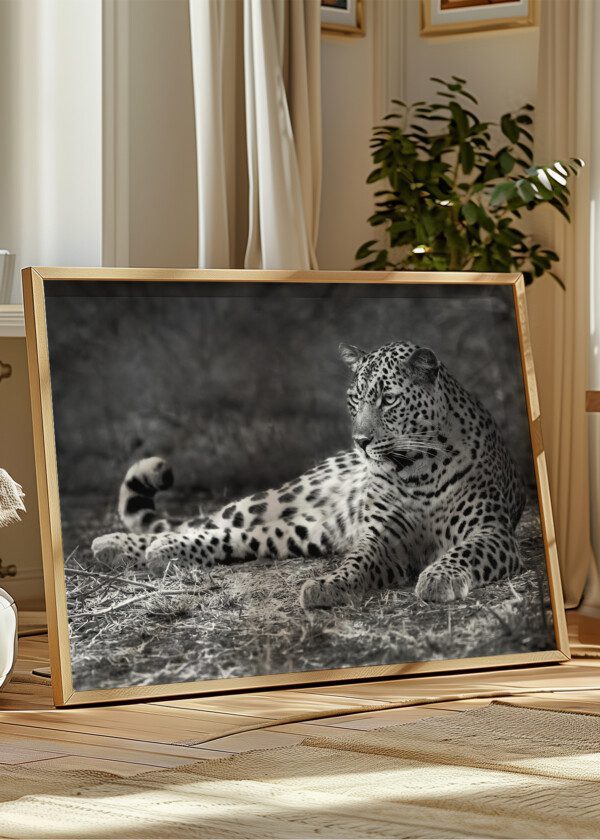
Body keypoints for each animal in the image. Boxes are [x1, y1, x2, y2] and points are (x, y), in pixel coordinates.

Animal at [91, 341, 526, 607]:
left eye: (388, 399)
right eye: (354, 399)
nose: (361, 441)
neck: (418, 470)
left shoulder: (492, 532)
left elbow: (463, 551)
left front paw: (439, 577)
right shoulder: (381, 537)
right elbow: (357, 562)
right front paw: (328, 585)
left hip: (306, 532)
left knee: (237, 537)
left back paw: (157, 551)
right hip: (276, 499)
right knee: (205, 522)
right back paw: (118, 544)